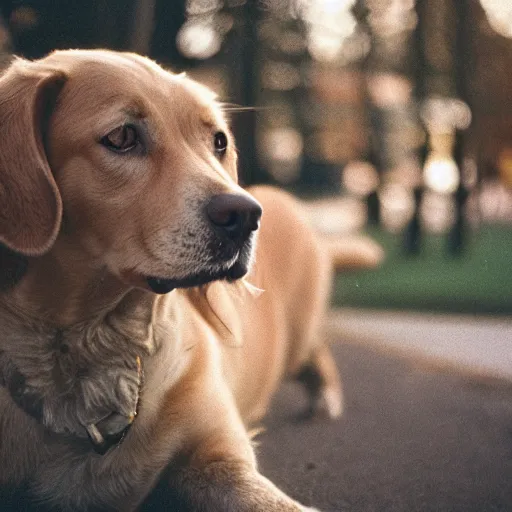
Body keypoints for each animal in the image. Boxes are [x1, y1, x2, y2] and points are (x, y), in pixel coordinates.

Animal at [0, 50, 372, 510]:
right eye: (122, 136)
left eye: (219, 142)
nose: (246, 215)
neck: (92, 344)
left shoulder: (219, 455)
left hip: (299, 335)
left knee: (316, 347)